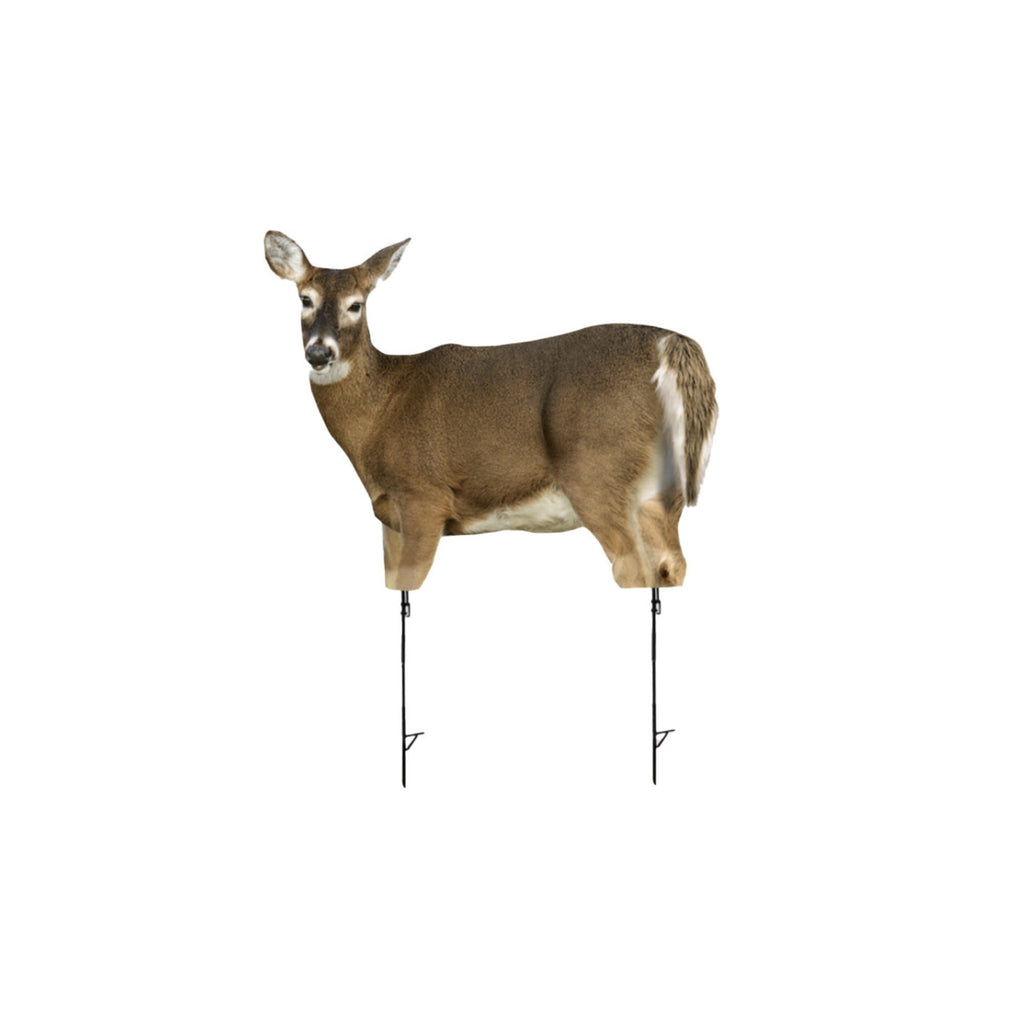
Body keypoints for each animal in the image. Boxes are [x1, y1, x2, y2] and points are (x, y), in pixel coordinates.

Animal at [264, 232, 717, 594]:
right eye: (305, 299)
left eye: (356, 305)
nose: (319, 352)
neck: (381, 412)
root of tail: (671, 344)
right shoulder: (389, 516)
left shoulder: (423, 496)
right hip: (661, 491)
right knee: (671, 567)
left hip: (597, 472)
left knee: (635, 572)